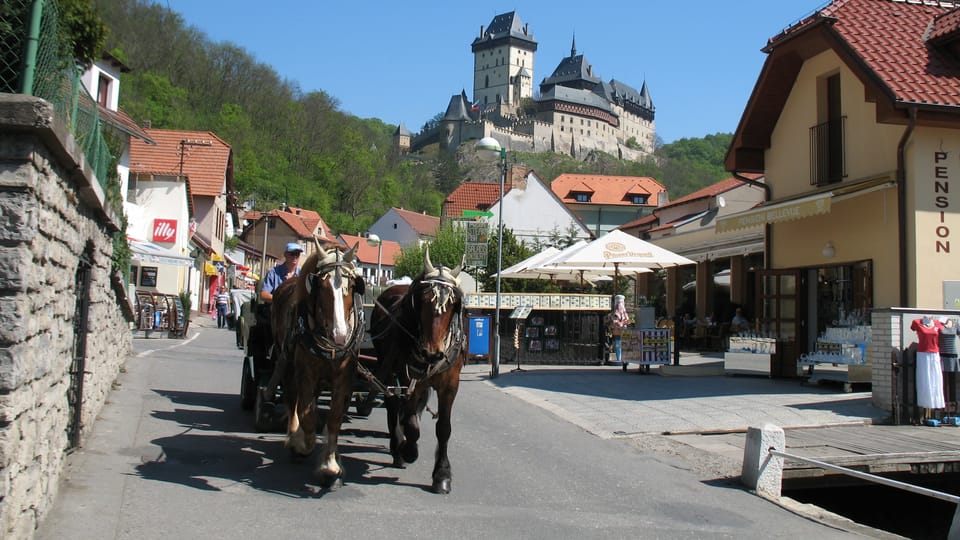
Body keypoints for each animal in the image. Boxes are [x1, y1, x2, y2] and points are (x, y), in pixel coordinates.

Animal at [272, 243, 366, 488]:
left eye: (352, 286)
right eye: (321, 286)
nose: (340, 336)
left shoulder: (344, 377)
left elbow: (334, 418)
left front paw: (331, 465)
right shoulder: (305, 372)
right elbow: (306, 415)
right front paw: (302, 444)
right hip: (287, 362)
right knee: (292, 400)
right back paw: (293, 436)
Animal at [370, 249, 466, 494]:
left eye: (453, 304)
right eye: (422, 301)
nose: (432, 353)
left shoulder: (450, 385)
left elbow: (444, 428)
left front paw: (442, 474)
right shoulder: (409, 379)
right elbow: (411, 423)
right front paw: (409, 450)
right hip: (389, 368)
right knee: (393, 405)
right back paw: (397, 448)